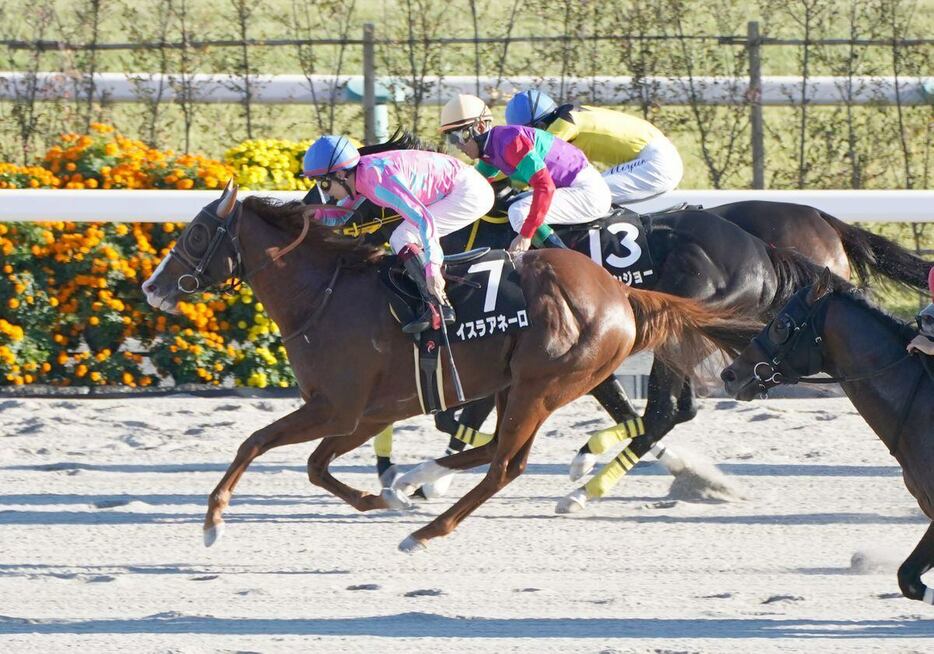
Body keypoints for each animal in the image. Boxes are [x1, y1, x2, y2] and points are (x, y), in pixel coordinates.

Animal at [143, 183, 764, 552]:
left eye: (196, 234)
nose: (152, 288)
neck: (324, 294)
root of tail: (621, 294)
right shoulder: (365, 412)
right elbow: (317, 467)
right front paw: (381, 497)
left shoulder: (335, 406)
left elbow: (253, 442)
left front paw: (213, 520)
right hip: (528, 387)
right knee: (507, 454)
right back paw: (419, 483)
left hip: (541, 386)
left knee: (507, 466)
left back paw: (429, 529)